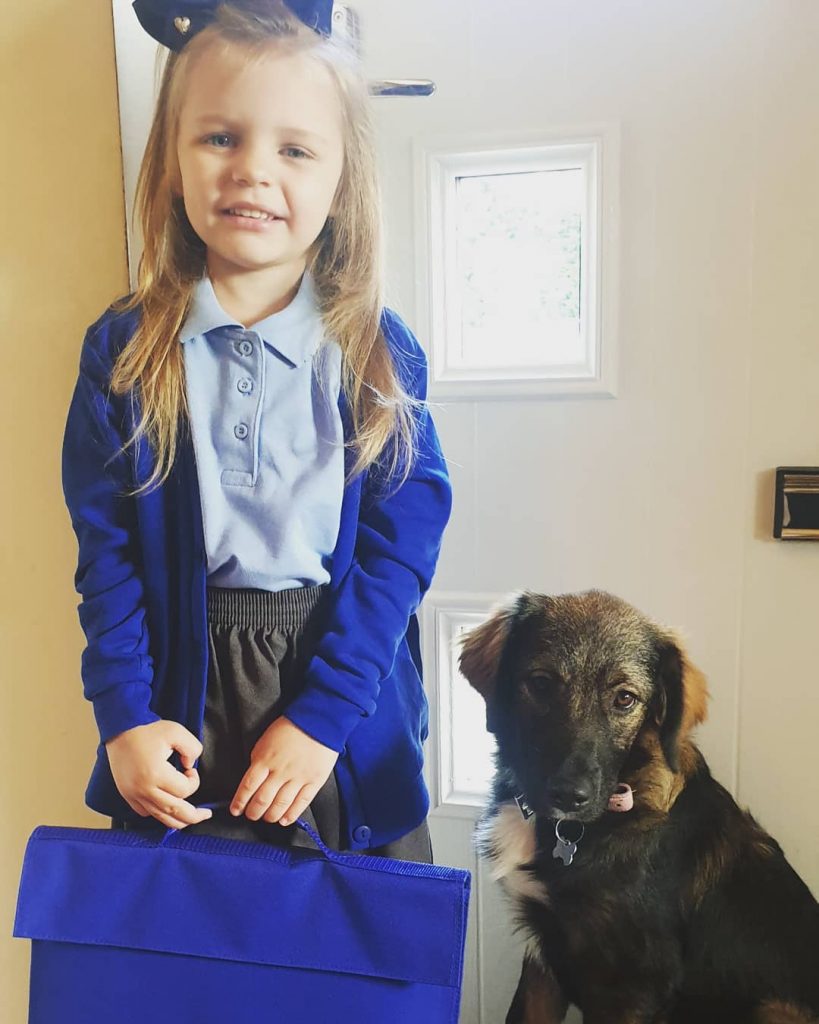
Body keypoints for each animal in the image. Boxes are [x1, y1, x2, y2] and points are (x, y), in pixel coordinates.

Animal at [456, 593, 814, 1024]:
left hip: (772, 1009)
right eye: (541, 683)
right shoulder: (543, 961)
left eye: (625, 698)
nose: (569, 796)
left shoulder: (634, 986)